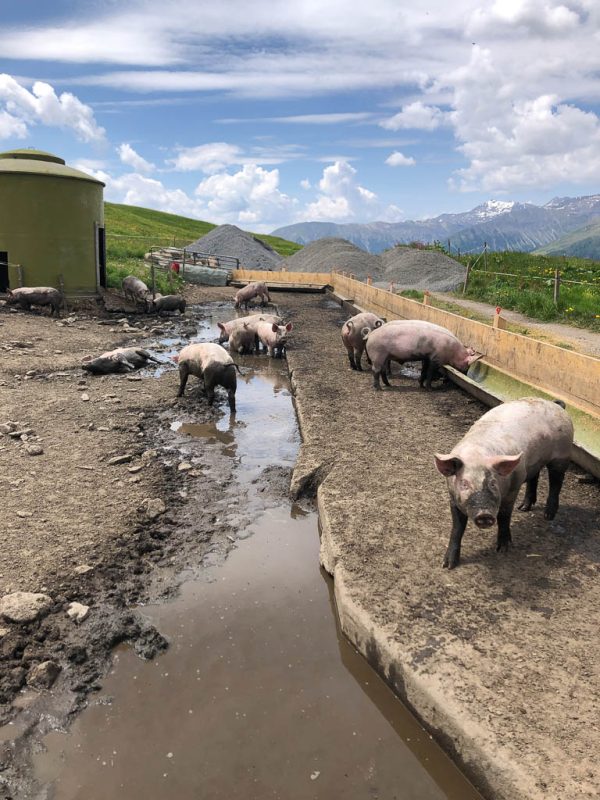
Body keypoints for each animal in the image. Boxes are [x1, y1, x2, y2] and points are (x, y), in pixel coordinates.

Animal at [434, 398, 574, 569]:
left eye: (493, 483)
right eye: (464, 484)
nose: (484, 514)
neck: (477, 454)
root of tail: (557, 405)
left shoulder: (513, 487)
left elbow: (504, 516)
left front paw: (503, 549)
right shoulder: (453, 497)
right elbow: (457, 527)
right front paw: (447, 565)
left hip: (562, 453)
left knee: (556, 482)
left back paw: (548, 516)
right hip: (533, 463)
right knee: (534, 477)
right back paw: (524, 508)